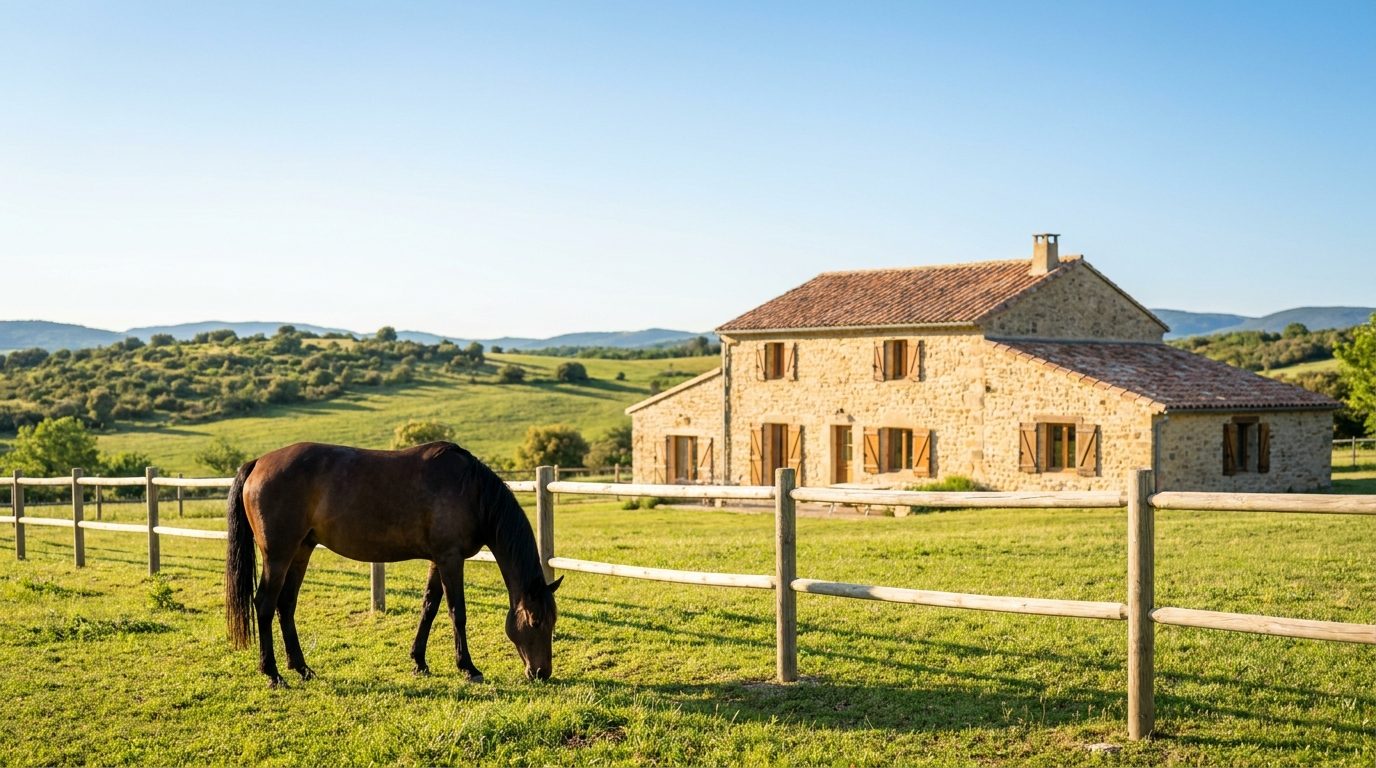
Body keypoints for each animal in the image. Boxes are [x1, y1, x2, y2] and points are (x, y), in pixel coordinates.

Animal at [224, 441, 561, 687]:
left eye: (552, 621)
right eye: (535, 622)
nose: (541, 672)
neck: (471, 490)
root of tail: (258, 463)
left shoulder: (438, 560)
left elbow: (429, 607)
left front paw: (419, 662)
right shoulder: (451, 559)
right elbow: (457, 612)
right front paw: (468, 668)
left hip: (301, 551)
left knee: (286, 605)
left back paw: (302, 668)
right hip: (278, 555)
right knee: (264, 604)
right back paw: (273, 674)